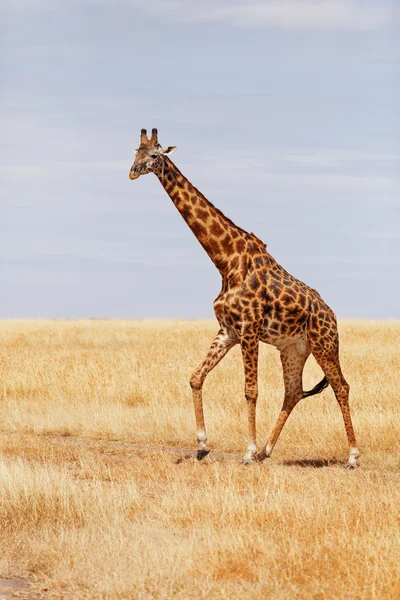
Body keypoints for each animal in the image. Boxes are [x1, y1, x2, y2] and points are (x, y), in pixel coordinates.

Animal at [129, 129, 360, 468]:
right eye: (135, 152)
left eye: (155, 155)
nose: (133, 172)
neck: (226, 261)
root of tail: (331, 314)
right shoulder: (229, 331)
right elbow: (196, 377)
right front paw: (203, 445)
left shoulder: (249, 329)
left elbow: (251, 390)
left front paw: (247, 451)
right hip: (293, 348)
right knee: (293, 391)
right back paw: (267, 451)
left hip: (324, 343)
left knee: (341, 386)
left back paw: (353, 456)